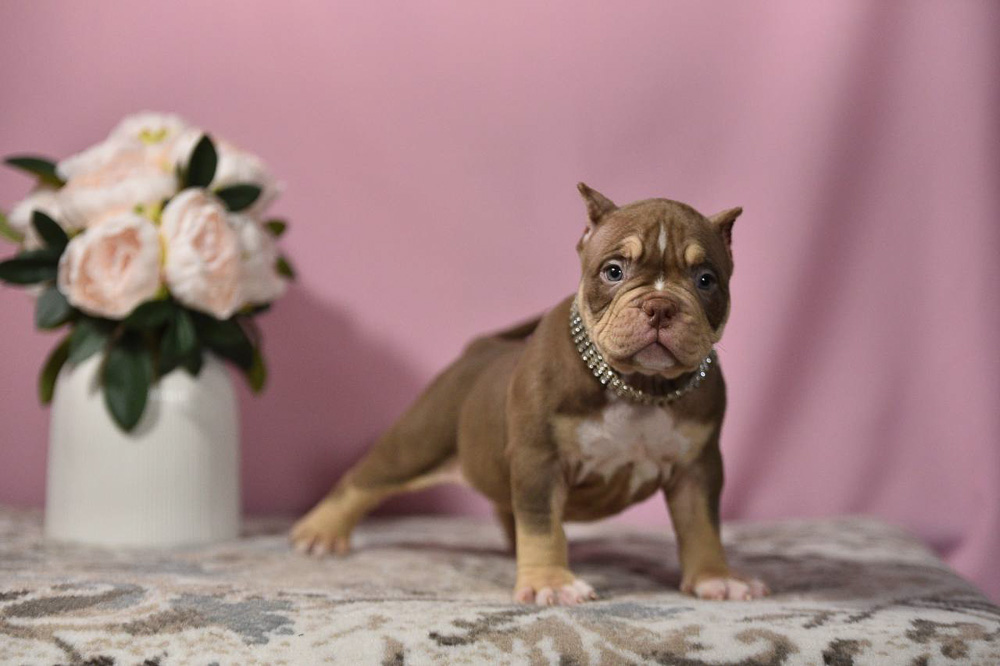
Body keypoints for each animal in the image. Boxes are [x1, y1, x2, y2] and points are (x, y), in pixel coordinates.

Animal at [291, 183, 767, 605]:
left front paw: (715, 577)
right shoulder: (541, 458)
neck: (639, 386)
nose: (660, 305)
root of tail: (480, 349)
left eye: (706, 280)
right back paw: (321, 532)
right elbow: (541, 524)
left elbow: (702, 524)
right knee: (365, 479)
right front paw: (549, 584)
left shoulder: (697, 467)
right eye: (613, 271)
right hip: (419, 440)